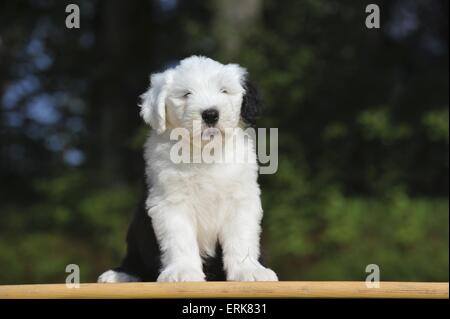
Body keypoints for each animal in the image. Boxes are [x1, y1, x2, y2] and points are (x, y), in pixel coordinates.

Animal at [97, 56, 278, 284]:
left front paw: (249, 270)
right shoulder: (170, 201)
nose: (210, 114)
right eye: (186, 94)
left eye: (224, 90)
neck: (204, 152)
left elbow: (241, 237)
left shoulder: (241, 198)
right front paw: (183, 271)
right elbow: (179, 239)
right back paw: (121, 274)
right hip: (138, 224)